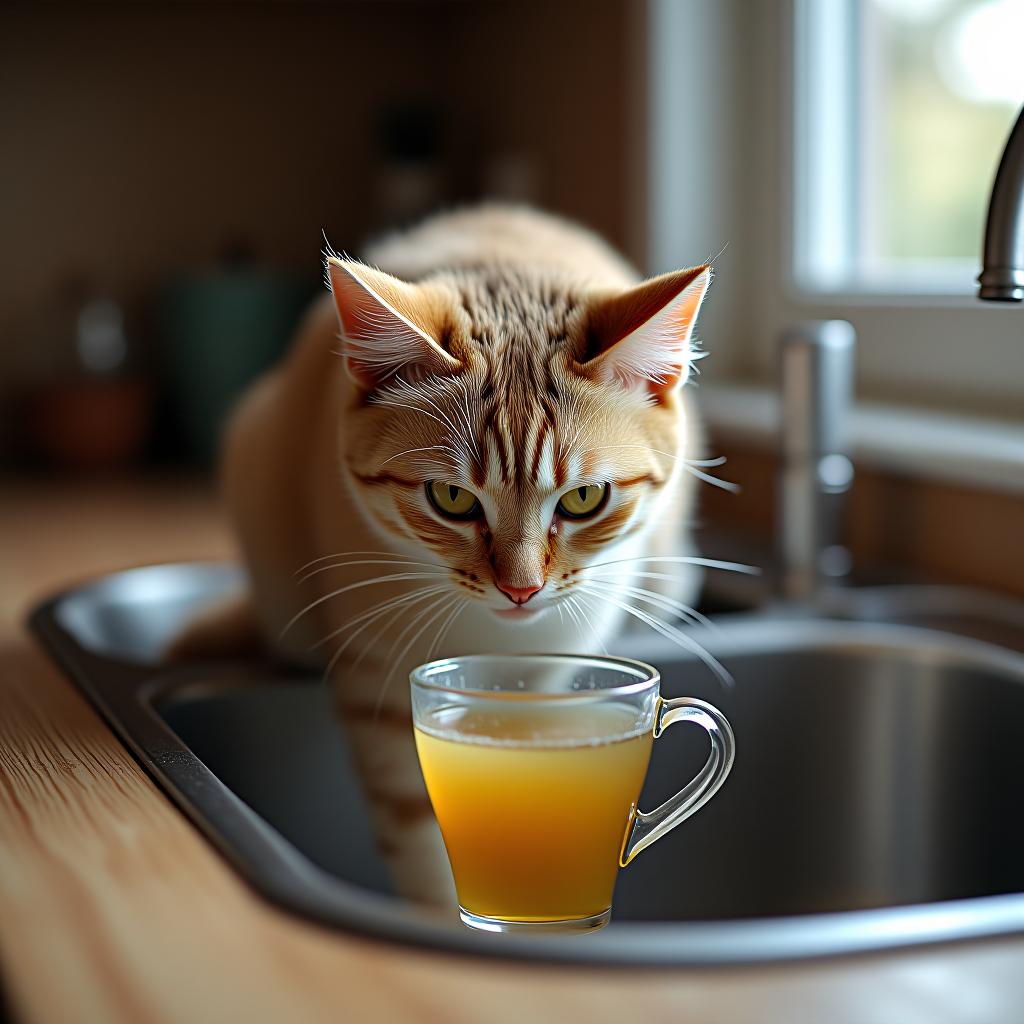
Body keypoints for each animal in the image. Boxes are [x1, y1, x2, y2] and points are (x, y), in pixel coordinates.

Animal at [174, 203, 712, 909]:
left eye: (585, 498)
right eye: (452, 498)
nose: (521, 590)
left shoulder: (547, 682)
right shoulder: (378, 686)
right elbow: (421, 833)